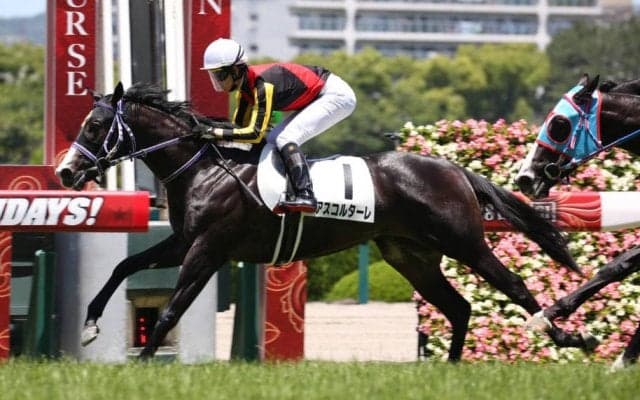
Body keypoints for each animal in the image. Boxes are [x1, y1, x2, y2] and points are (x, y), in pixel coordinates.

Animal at [55, 81, 593, 361]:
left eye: (96, 126)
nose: (65, 171)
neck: (203, 168)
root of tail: (453, 168)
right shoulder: (183, 241)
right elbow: (124, 268)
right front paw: (90, 327)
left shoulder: (208, 249)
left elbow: (171, 309)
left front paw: (144, 362)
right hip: (410, 256)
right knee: (458, 307)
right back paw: (452, 367)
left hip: (466, 244)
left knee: (514, 285)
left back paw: (569, 336)